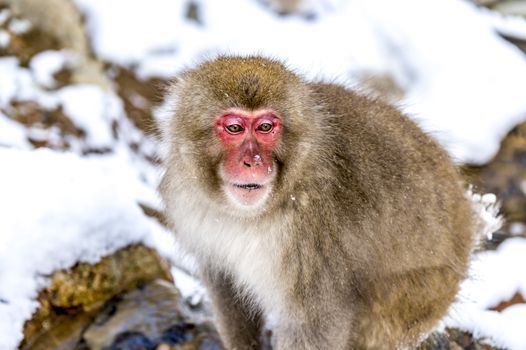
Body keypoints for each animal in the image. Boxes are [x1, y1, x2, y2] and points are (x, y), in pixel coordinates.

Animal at [161, 56, 478, 348]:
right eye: (235, 128)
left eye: (265, 127)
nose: (253, 161)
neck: (256, 212)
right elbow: (227, 295)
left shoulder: (313, 238)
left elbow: (315, 324)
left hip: (422, 294)